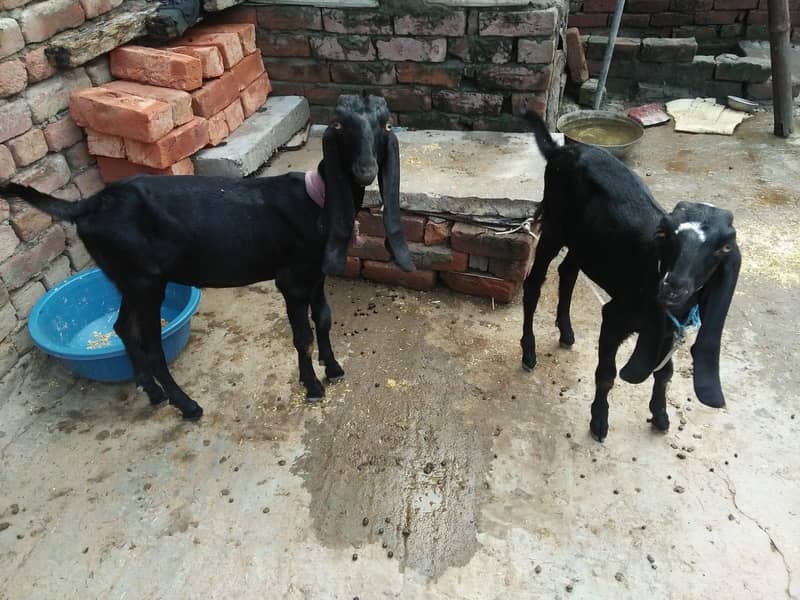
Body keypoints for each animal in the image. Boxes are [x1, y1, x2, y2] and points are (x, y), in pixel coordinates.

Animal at [1, 93, 414, 420]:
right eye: (340, 125)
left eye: (386, 124)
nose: (365, 170)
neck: (315, 201)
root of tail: (86, 206)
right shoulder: (292, 280)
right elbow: (303, 335)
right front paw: (312, 386)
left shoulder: (315, 274)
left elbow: (325, 320)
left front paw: (334, 368)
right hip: (145, 281)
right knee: (151, 345)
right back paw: (186, 405)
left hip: (127, 277)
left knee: (122, 328)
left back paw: (153, 393)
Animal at [520, 110, 741, 441]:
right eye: (665, 234)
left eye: (724, 247)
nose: (673, 287)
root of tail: (561, 150)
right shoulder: (615, 317)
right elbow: (607, 374)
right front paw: (599, 422)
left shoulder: (669, 329)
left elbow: (664, 373)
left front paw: (660, 416)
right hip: (556, 226)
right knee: (534, 283)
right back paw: (529, 351)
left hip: (586, 241)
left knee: (568, 272)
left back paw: (566, 331)